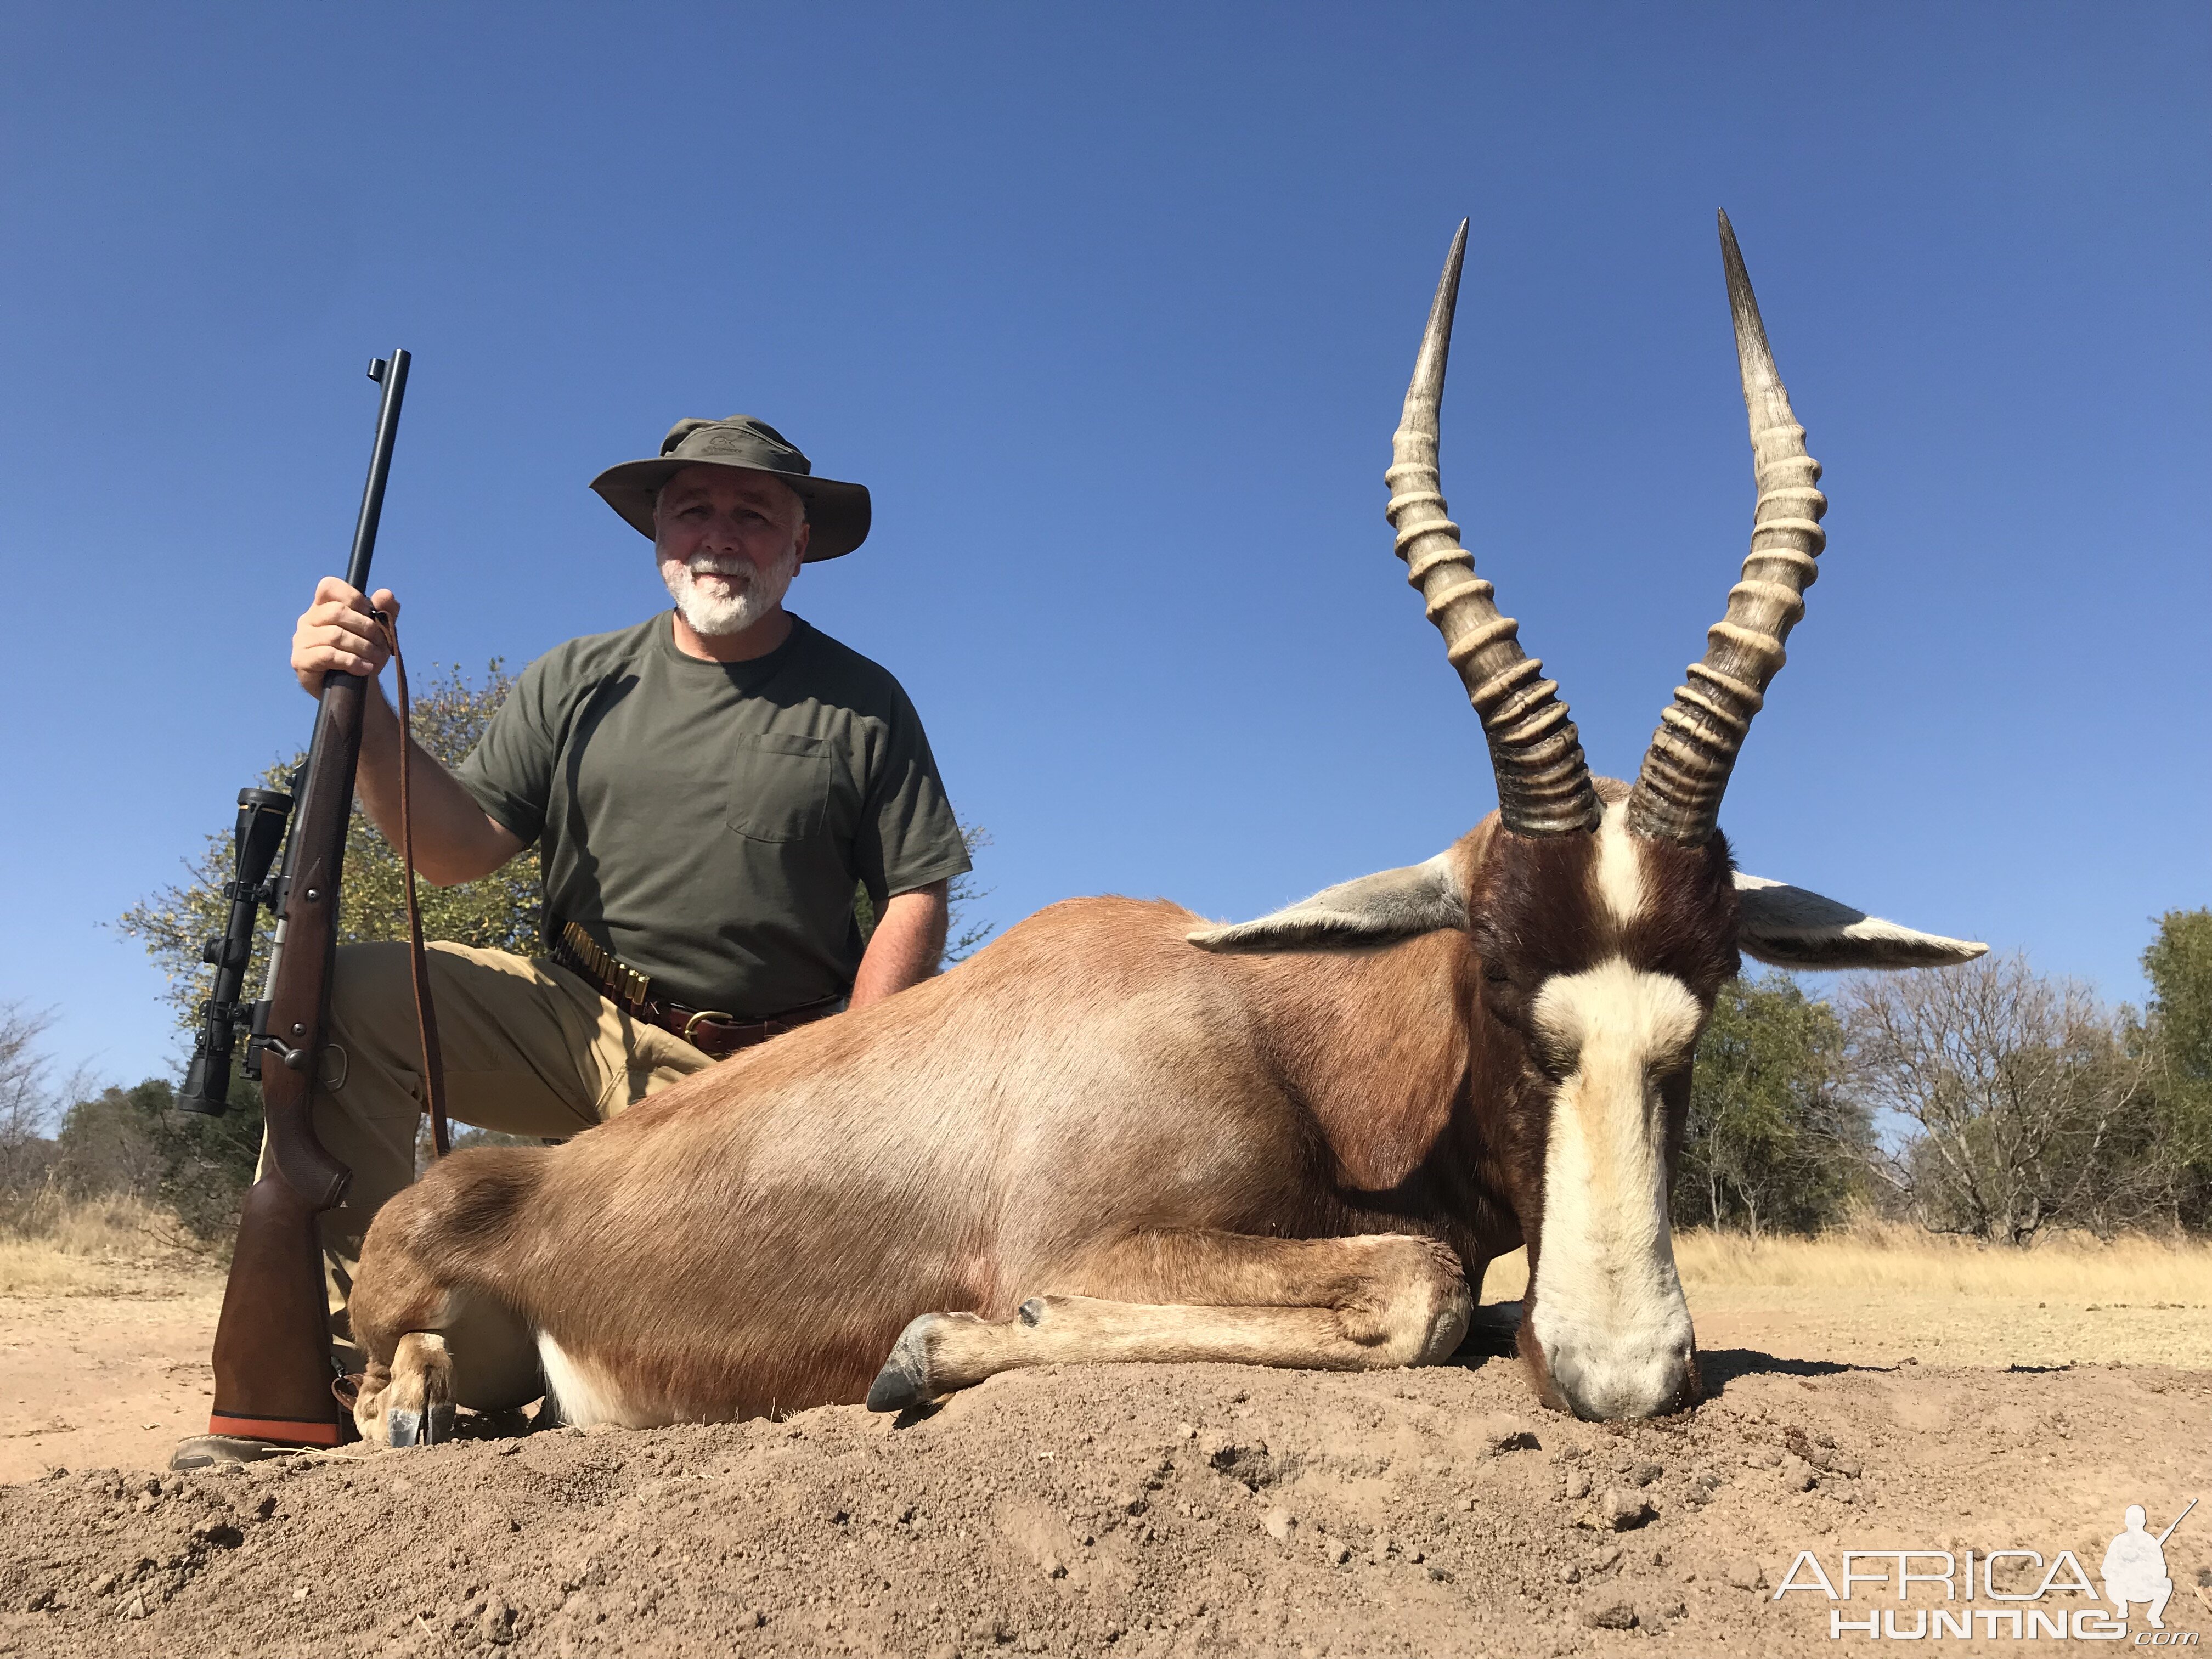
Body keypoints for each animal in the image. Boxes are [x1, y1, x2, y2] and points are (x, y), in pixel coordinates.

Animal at [349, 218, 1990, 1442]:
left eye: (1712, 999)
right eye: (1499, 976)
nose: (1625, 1375)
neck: (1269, 1020)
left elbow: (1450, 1288)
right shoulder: (1095, 1239)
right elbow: (1417, 1284)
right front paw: (927, 1348)